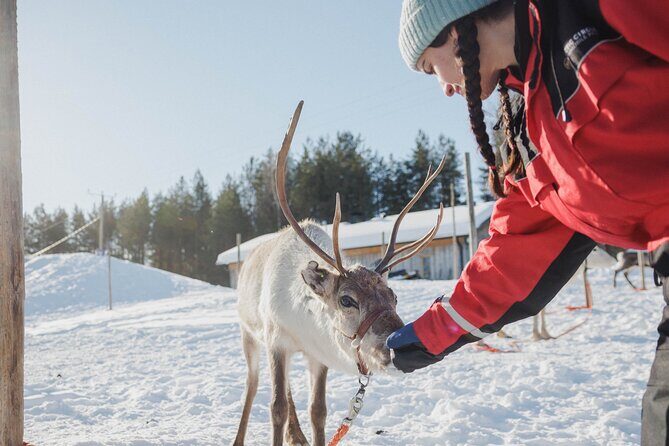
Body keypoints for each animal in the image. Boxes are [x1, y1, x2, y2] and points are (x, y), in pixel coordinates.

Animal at [232, 101, 446, 446]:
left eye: (393, 296)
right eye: (347, 300)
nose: (394, 347)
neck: (301, 322)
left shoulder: (317, 355)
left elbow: (318, 410)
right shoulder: (276, 341)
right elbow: (276, 407)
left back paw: (297, 435)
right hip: (248, 332)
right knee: (252, 386)